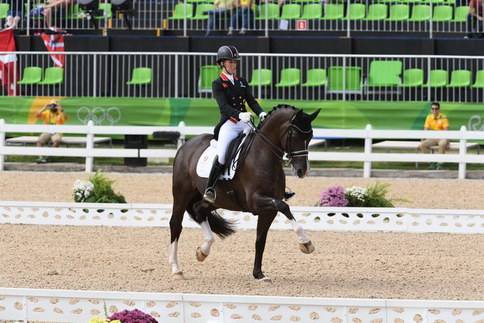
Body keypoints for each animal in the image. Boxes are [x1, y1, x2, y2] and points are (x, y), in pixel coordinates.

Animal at [169, 105, 322, 282]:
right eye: (295, 135)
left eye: (310, 136)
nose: (303, 170)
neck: (263, 154)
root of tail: (186, 145)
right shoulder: (256, 201)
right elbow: (284, 207)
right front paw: (306, 243)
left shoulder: (267, 210)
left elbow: (260, 240)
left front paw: (259, 274)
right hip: (182, 193)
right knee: (176, 224)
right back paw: (176, 269)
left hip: (216, 200)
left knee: (199, 210)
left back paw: (203, 251)